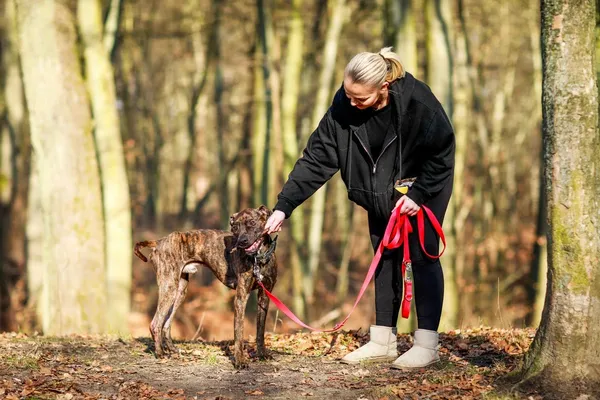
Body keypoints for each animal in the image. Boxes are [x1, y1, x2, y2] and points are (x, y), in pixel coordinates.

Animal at [134, 206, 276, 368]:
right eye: (235, 227)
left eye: (252, 222)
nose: (241, 242)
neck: (258, 259)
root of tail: (159, 242)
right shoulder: (241, 298)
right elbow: (239, 332)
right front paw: (240, 360)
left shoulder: (264, 297)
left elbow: (260, 330)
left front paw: (262, 354)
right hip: (169, 288)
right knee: (156, 323)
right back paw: (160, 353)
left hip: (180, 291)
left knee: (166, 324)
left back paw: (172, 349)